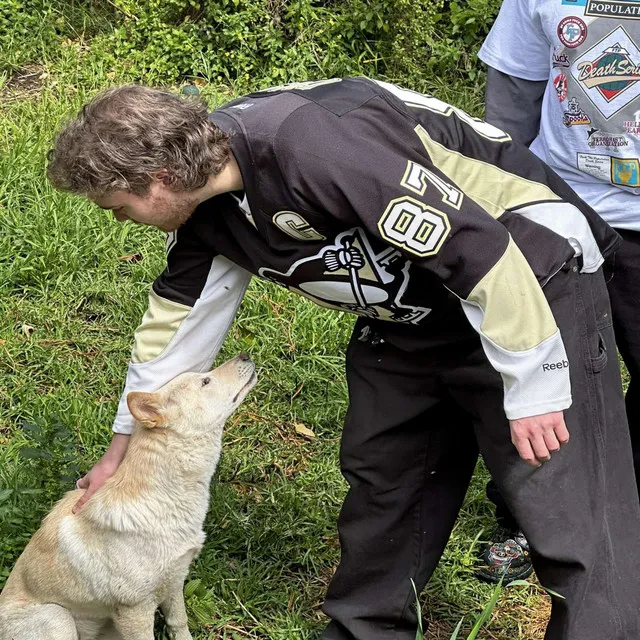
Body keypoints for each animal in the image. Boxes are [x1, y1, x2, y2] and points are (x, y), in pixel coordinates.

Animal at [0, 352, 255, 636]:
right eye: (206, 381)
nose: (245, 355)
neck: (162, 498)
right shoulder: (135, 610)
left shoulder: (174, 581)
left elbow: (179, 623)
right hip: (58, 617)